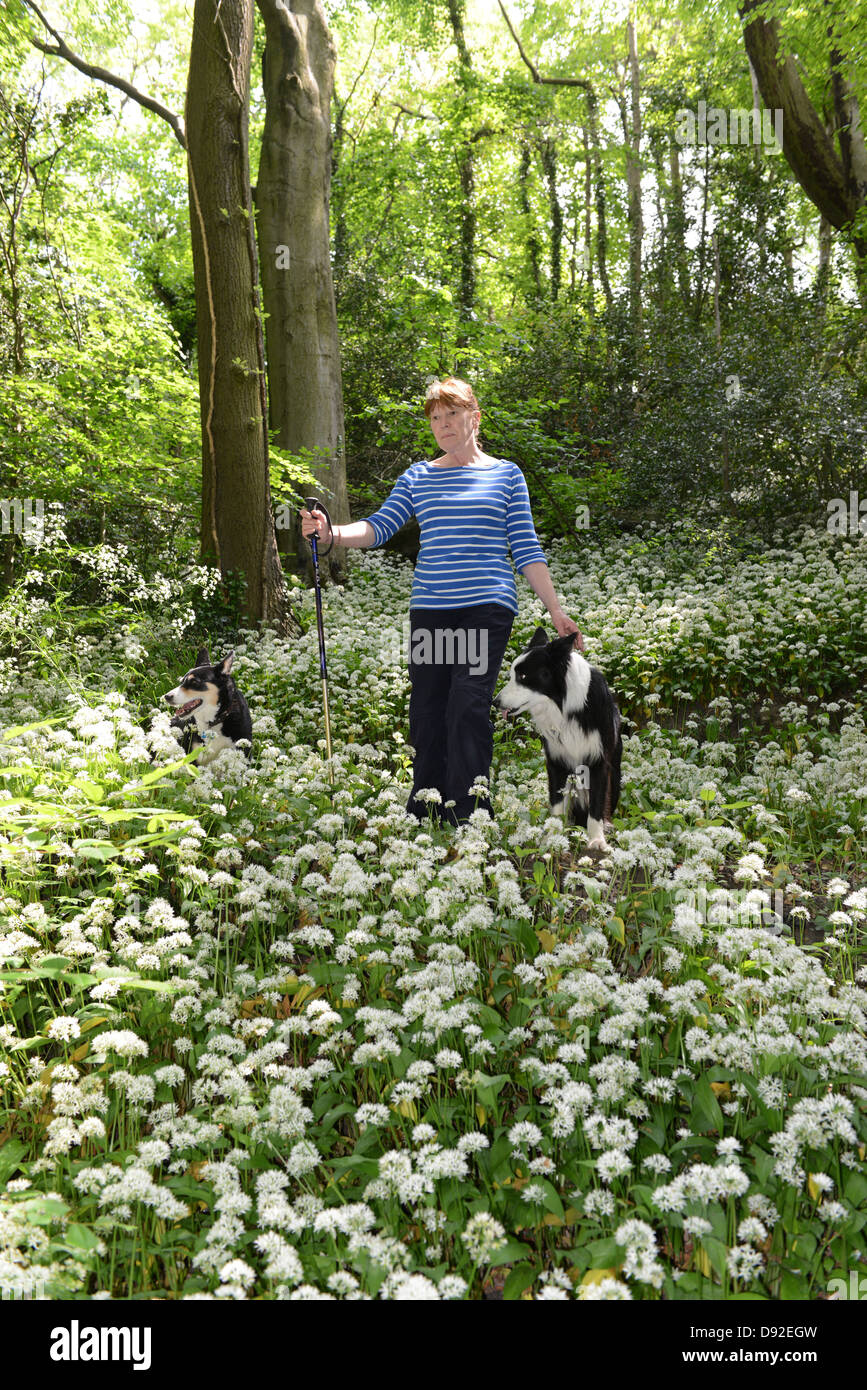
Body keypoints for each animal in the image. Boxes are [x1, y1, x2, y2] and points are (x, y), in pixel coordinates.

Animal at [494, 628, 622, 845]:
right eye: (512, 675)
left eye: (523, 675)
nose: (495, 702)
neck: (565, 707)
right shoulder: (556, 761)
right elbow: (557, 804)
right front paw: (553, 837)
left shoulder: (599, 761)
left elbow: (596, 804)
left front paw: (596, 840)